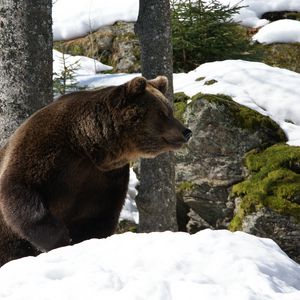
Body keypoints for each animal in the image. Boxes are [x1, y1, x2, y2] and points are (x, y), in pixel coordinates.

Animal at [0, 76, 192, 266]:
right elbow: (20, 191)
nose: (187, 131)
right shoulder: (44, 151)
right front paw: (61, 238)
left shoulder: (103, 178)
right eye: (162, 113)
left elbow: (99, 216)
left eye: (169, 110)